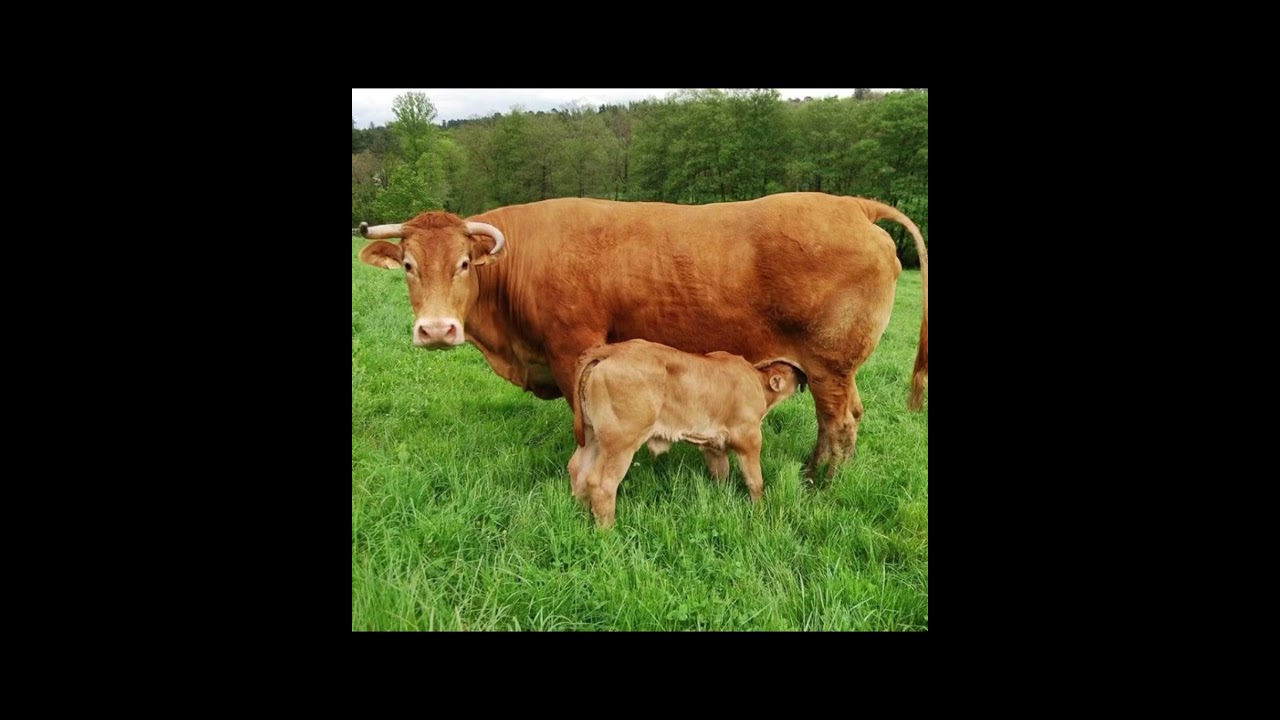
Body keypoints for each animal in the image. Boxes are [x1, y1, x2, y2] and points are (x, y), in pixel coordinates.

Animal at [357, 192, 927, 478]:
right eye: (408, 265)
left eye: (463, 263)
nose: (436, 329)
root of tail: (851, 204)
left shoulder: (574, 349)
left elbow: (583, 427)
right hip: (838, 369)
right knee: (848, 417)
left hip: (830, 365)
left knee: (838, 426)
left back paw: (820, 485)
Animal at [567, 340, 804, 527]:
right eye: (791, 371)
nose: (801, 371)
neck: (757, 383)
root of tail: (612, 350)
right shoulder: (749, 439)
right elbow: (755, 481)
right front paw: (759, 512)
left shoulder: (713, 445)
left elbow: (721, 474)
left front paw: (722, 499)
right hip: (620, 443)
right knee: (602, 484)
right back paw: (607, 531)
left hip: (592, 435)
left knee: (578, 470)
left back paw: (580, 516)